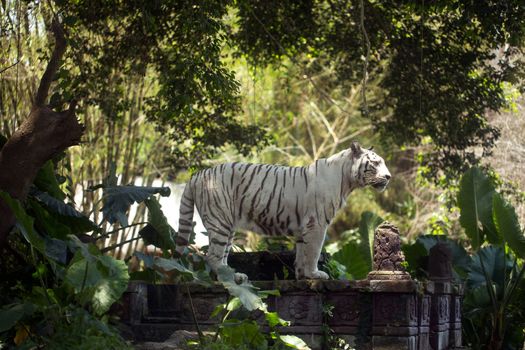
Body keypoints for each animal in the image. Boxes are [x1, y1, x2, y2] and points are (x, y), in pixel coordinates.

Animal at [175, 141, 388, 284]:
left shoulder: (304, 227)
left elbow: (302, 252)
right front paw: (314, 274)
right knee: (212, 256)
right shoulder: (318, 223)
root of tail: (198, 174)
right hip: (220, 220)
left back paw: (234, 276)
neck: (347, 181)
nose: (389, 176)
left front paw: (302, 275)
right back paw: (233, 278)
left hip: (228, 225)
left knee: (221, 255)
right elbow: (314, 251)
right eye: (375, 163)